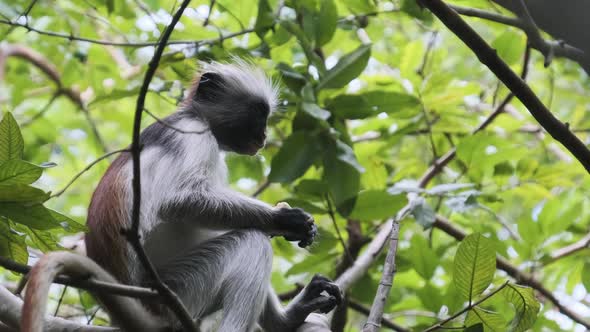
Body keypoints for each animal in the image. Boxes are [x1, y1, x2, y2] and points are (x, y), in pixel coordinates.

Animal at [82, 61, 342, 330]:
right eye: (257, 113)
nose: (264, 136)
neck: (195, 116)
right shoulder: (192, 133)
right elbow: (180, 201)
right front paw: (284, 220)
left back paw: (284, 321)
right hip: (172, 292)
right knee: (252, 241)